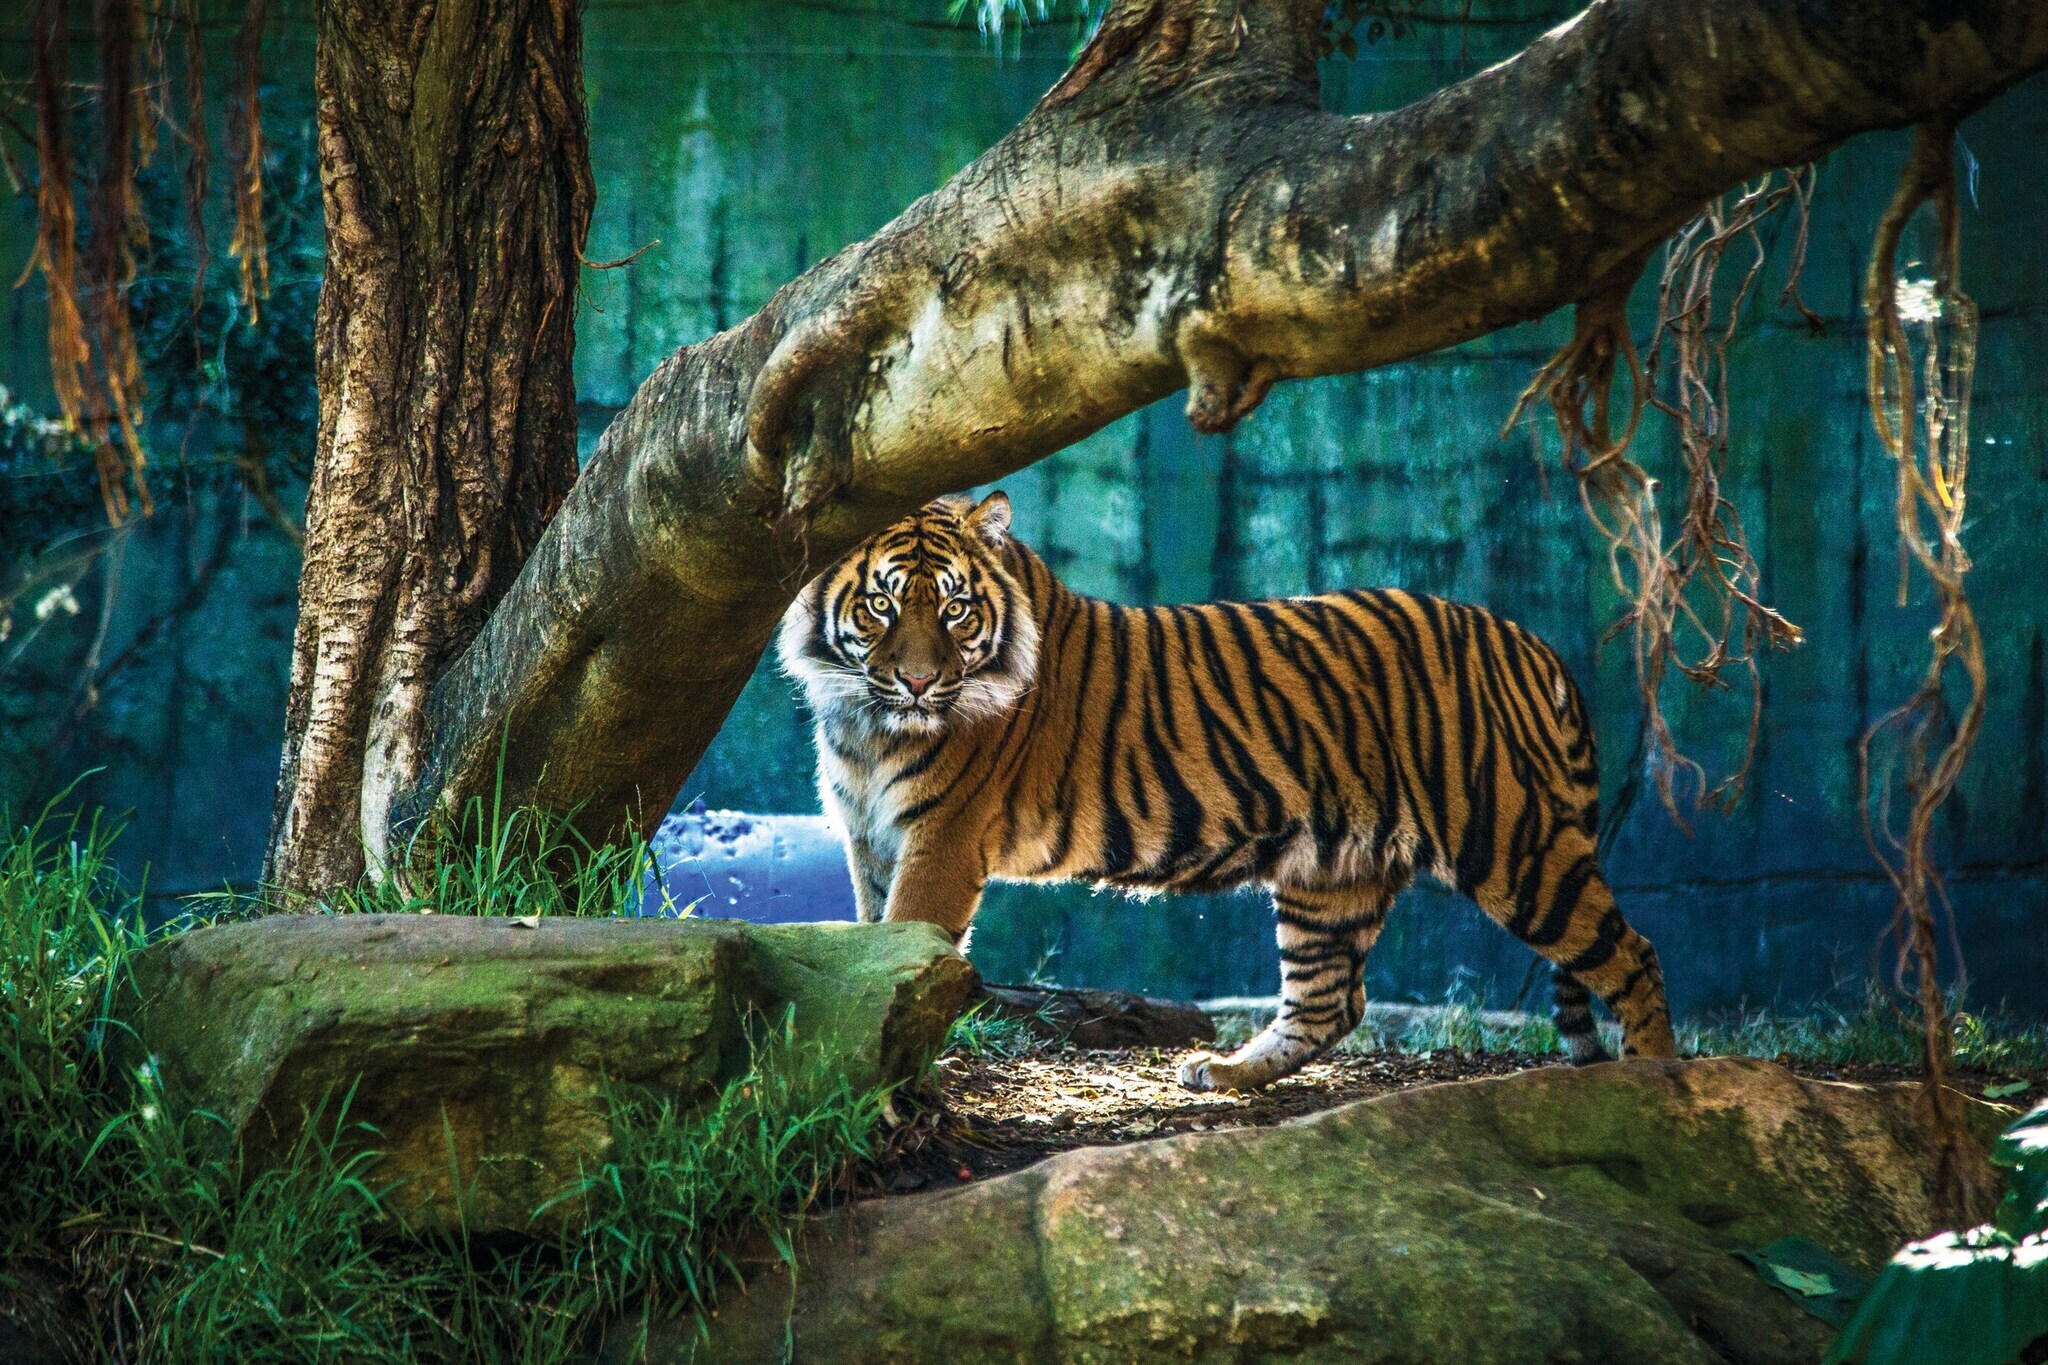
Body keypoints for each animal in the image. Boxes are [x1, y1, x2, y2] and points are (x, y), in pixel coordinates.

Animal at [777, 491, 1676, 1092]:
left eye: (957, 609)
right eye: (883, 602)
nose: (920, 682)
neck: (863, 718)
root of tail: (1532, 643)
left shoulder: (942, 839)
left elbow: (911, 934)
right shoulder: (869, 837)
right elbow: (877, 942)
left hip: (1513, 842)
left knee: (1633, 953)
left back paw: (1660, 1084)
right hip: (1332, 870)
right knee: (1330, 1000)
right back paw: (1227, 1073)